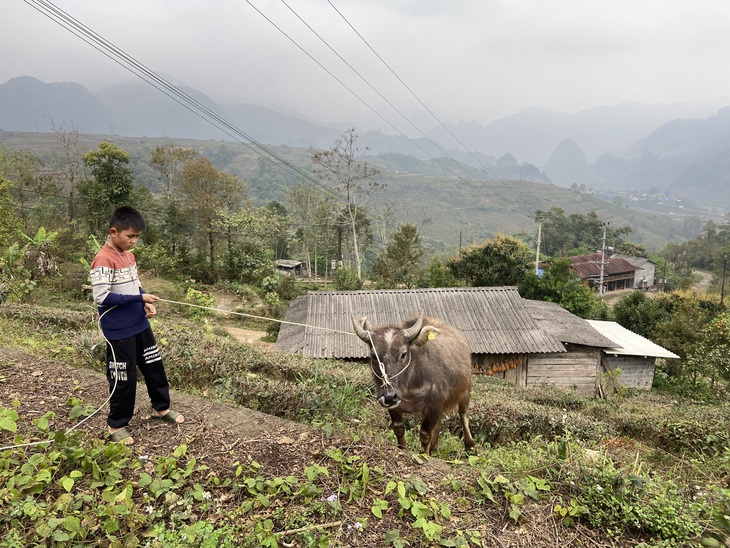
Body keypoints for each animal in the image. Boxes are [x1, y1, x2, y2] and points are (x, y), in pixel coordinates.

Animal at [352, 312, 474, 454]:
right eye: (373, 356)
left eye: (403, 354)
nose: (389, 396)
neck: (408, 387)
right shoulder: (395, 406)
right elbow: (399, 429)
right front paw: (403, 448)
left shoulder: (435, 404)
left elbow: (425, 435)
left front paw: (425, 454)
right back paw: (434, 448)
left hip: (466, 392)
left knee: (463, 415)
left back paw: (470, 446)